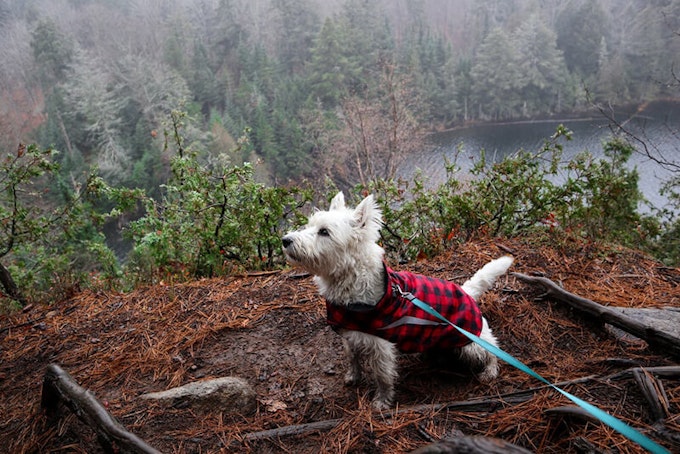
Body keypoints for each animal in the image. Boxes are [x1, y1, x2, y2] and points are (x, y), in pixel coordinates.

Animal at [280, 192, 510, 412]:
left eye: (324, 232)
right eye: (310, 225)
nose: (285, 240)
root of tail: (466, 291)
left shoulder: (381, 346)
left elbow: (383, 376)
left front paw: (381, 403)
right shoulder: (349, 334)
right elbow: (352, 358)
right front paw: (353, 377)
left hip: (471, 340)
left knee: (492, 349)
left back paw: (489, 371)